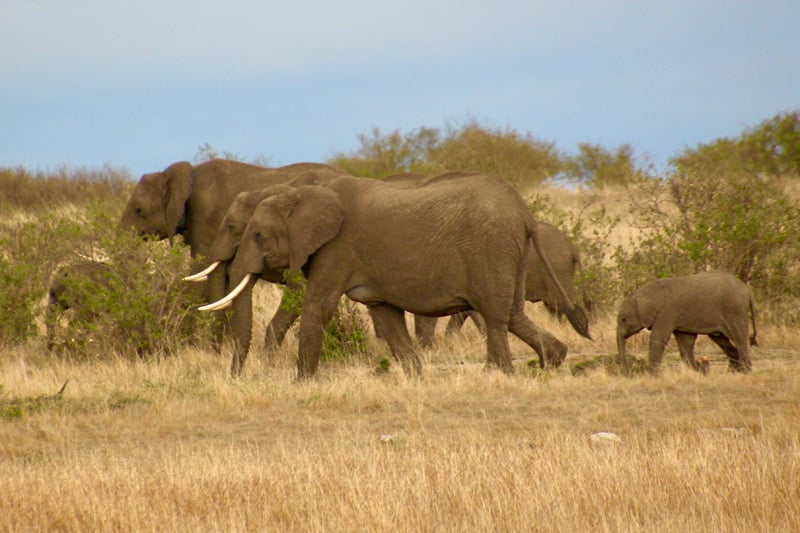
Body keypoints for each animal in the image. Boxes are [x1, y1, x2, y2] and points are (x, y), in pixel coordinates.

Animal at [198, 175, 580, 378]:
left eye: (256, 235)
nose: (236, 377)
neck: (299, 191)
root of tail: (525, 214)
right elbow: (385, 315)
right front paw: (416, 378)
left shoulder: (337, 249)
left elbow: (317, 307)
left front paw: (301, 383)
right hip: (510, 252)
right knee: (513, 312)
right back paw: (553, 359)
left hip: (490, 248)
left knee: (497, 314)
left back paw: (498, 374)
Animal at [616, 270, 760, 374]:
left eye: (623, 319)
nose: (626, 372)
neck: (644, 292)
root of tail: (748, 291)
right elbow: (686, 342)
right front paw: (699, 370)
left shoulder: (667, 312)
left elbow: (658, 338)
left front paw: (652, 374)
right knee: (721, 339)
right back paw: (733, 371)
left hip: (734, 311)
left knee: (739, 338)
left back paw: (745, 371)